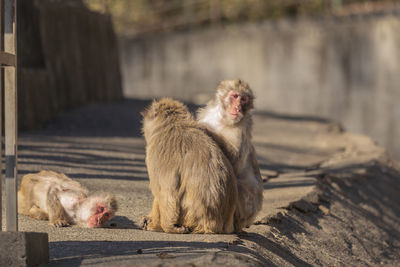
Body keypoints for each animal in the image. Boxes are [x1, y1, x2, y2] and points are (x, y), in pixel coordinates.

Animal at [141, 98, 238, 234]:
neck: (175, 124)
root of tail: (214, 226)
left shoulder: (157, 153)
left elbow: (168, 191)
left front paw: (168, 226)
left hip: (189, 217)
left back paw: (156, 225)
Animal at [196, 79, 262, 230]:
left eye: (244, 99)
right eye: (235, 96)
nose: (238, 107)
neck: (222, 119)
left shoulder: (242, 127)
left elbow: (235, 162)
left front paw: (204, 128)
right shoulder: (206, 113)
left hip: (246, 208)